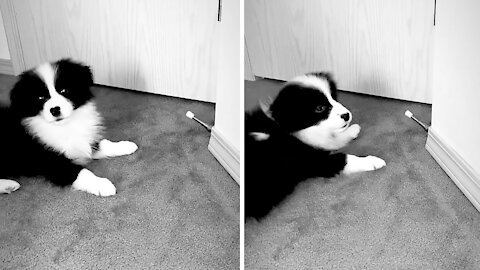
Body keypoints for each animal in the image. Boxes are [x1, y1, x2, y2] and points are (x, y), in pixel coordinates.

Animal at [0, 58, 139, 195]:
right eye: (40, 97)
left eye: (64, 90)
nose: (55, 110)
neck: (66, 126)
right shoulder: (52, 161)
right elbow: (82, 172)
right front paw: (102, 184)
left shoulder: (83, 141)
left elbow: (102, 144)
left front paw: (125, 146)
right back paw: (8, 185)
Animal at [248, 71, 386, 219]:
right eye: (319, 108)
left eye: (333, 97)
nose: (347, 115)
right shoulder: (313, 161)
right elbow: (345, 158)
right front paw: (373, 161)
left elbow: (332, 139)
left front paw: (352, 130)